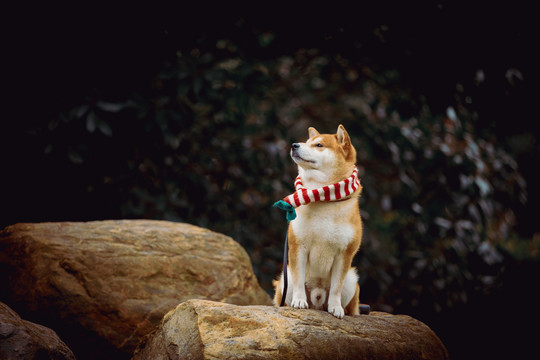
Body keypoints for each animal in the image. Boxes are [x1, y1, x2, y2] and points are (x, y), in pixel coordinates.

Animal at [274, 124, 362, 318]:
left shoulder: (344, 254)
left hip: (351, 280)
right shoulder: (298, 246)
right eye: (307, 142)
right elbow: (299, 280)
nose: (294, 145)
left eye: (319, 145)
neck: (323, 199)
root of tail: (317, 299)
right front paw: (299, 301)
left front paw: (335, 307)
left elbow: (336, 287)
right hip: (285, 280)